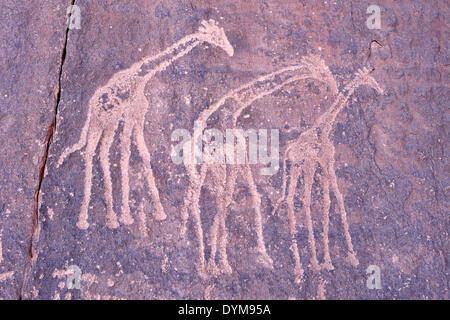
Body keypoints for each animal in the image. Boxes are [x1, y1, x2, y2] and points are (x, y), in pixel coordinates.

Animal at [57, 20, 234, 229]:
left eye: (222, 33)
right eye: (216, 36)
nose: (231, 51)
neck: (141, 76)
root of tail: (93, 105)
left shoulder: (138, 115)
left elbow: (143, 153)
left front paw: (159, 211)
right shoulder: (130, 114)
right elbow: (125, 154)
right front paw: (126, 215)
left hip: (107, 124)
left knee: (100, 153)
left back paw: (107, 217)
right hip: (102, 123)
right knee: (92, 153)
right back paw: (89, 219)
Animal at [179, 55, 338, 278]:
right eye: (322, 73)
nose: (335, 89)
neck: (234, 109)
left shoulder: (239, 161)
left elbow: (249, 197)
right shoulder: (234, 159)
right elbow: (233, 201)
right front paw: (225, 263)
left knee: (195, 201)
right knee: (198, 201)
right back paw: (206, 264)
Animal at [274, 66, 384, 282]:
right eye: (370, 79)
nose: (381, 90)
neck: (325, 127)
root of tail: (288, 151)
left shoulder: (324, 165)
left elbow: (329, 201)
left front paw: (331, 260)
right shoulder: (325, 163)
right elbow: (335, 199)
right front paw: (345, 258)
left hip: (295, 169)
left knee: (291, 199)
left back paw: (304, 266)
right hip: (301, 167)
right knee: (299, 200)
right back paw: (303, 267)